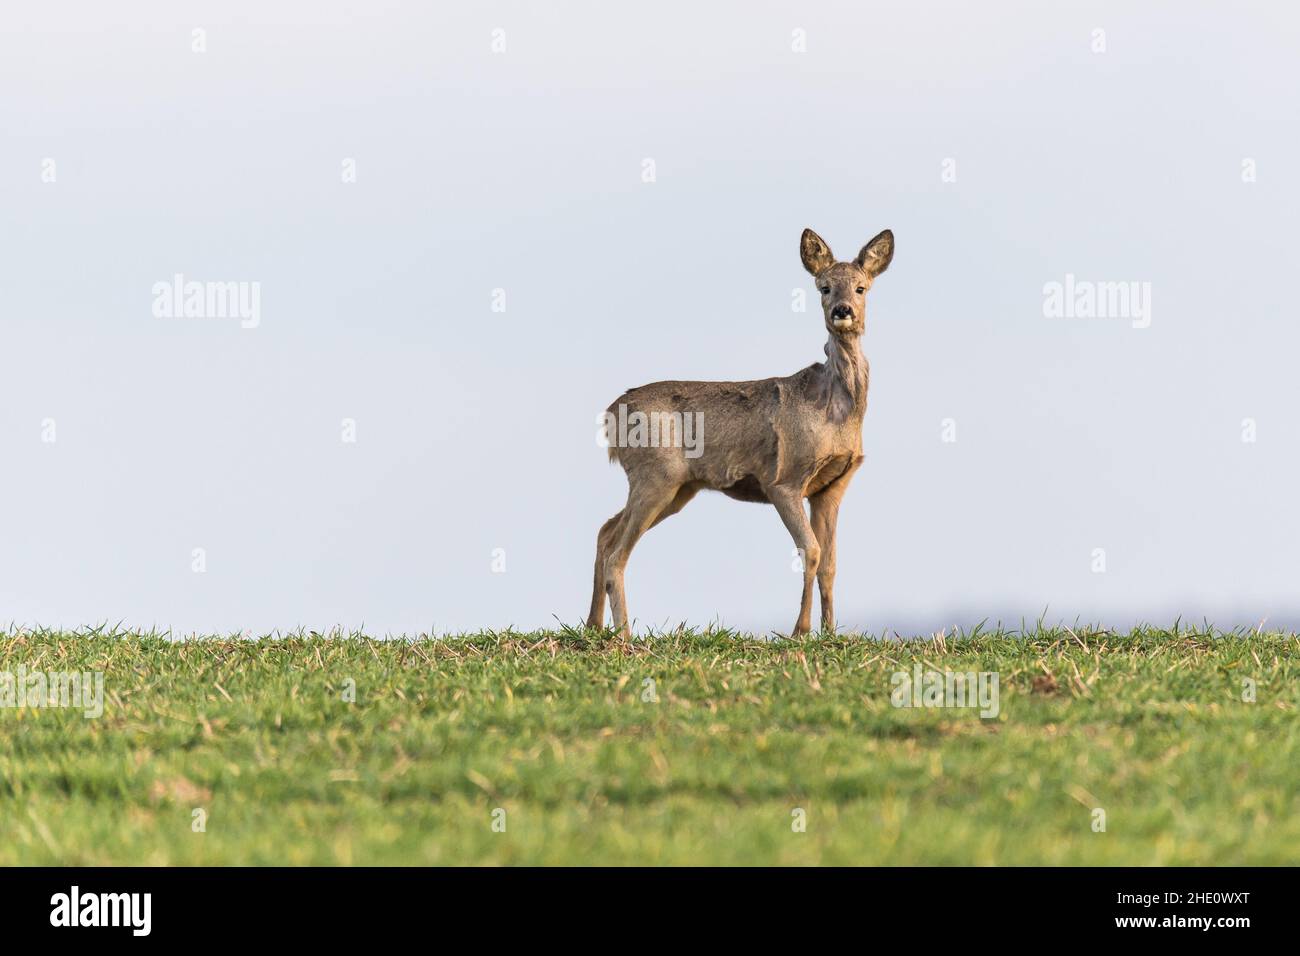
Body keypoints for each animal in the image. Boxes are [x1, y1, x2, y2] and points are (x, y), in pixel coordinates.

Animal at [587, 227, 894, 637]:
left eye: (861, 287)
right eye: (824, 287)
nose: (842, 310)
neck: (835, 412)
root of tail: (610, 414)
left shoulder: (832, 485)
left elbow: (830, 562)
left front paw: (830, 632)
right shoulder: (784, 479)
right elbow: (811, 552)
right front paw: (800, 631)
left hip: (678, 488)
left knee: (605, 532)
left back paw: (592, 626)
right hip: (657, 475)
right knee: (617, 553)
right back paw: (624, 634)